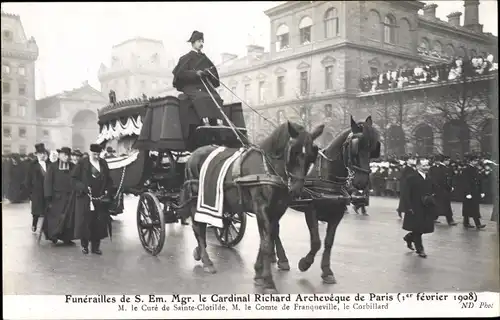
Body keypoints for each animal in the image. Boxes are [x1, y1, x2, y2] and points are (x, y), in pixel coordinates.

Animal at [180, 121, 324, 294]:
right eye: (293, 152)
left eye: (312, 155)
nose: (296, 190)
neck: (267, 168)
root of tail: (192, 155)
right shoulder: (261, 208)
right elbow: (267, 243)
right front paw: (268, 282)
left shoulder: (277, 210)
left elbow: (268, 238)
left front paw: (259, 272)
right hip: (196, 200)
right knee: (198, 227)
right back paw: (206, 260)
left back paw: (200, 253)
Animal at [272, 115, 380, 282]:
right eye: (355, 147)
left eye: (372, 148)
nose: (361, 182)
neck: (327, 176)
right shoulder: (311, 210)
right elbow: (316, 242)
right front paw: (305, 263)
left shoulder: (337, 214)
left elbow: (329, 242)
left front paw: (327, 270)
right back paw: (282, 259)